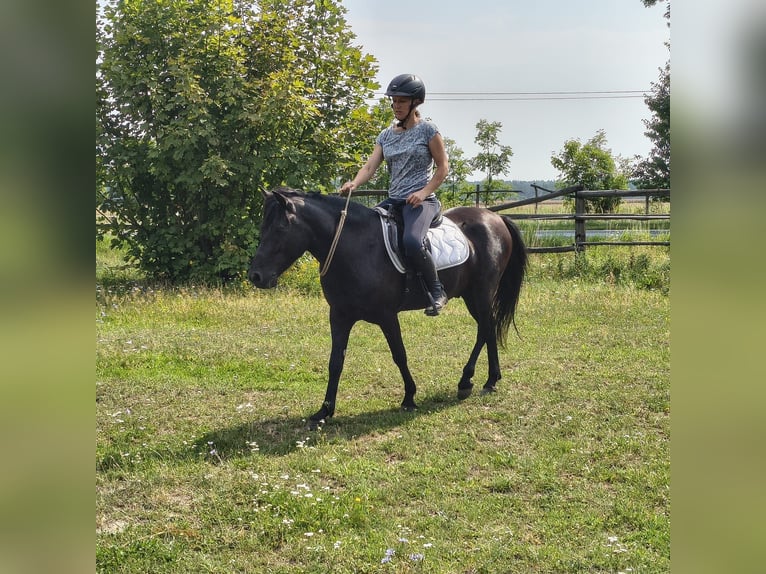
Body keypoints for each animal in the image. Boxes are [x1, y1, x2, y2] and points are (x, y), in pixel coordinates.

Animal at [248, 187, 527, 427]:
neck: (355, 247)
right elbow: (335, 362)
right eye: (262, 226)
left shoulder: (387, 316)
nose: (256, 276)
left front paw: (409, 397)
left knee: (484, 330)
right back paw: (491, 380)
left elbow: (399, 355)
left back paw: (466, 381)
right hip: (471, 296)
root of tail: (495, 217)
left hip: (481, 293)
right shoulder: (339, 316)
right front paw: (324, 410)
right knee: (489, 327)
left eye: (281, 227)